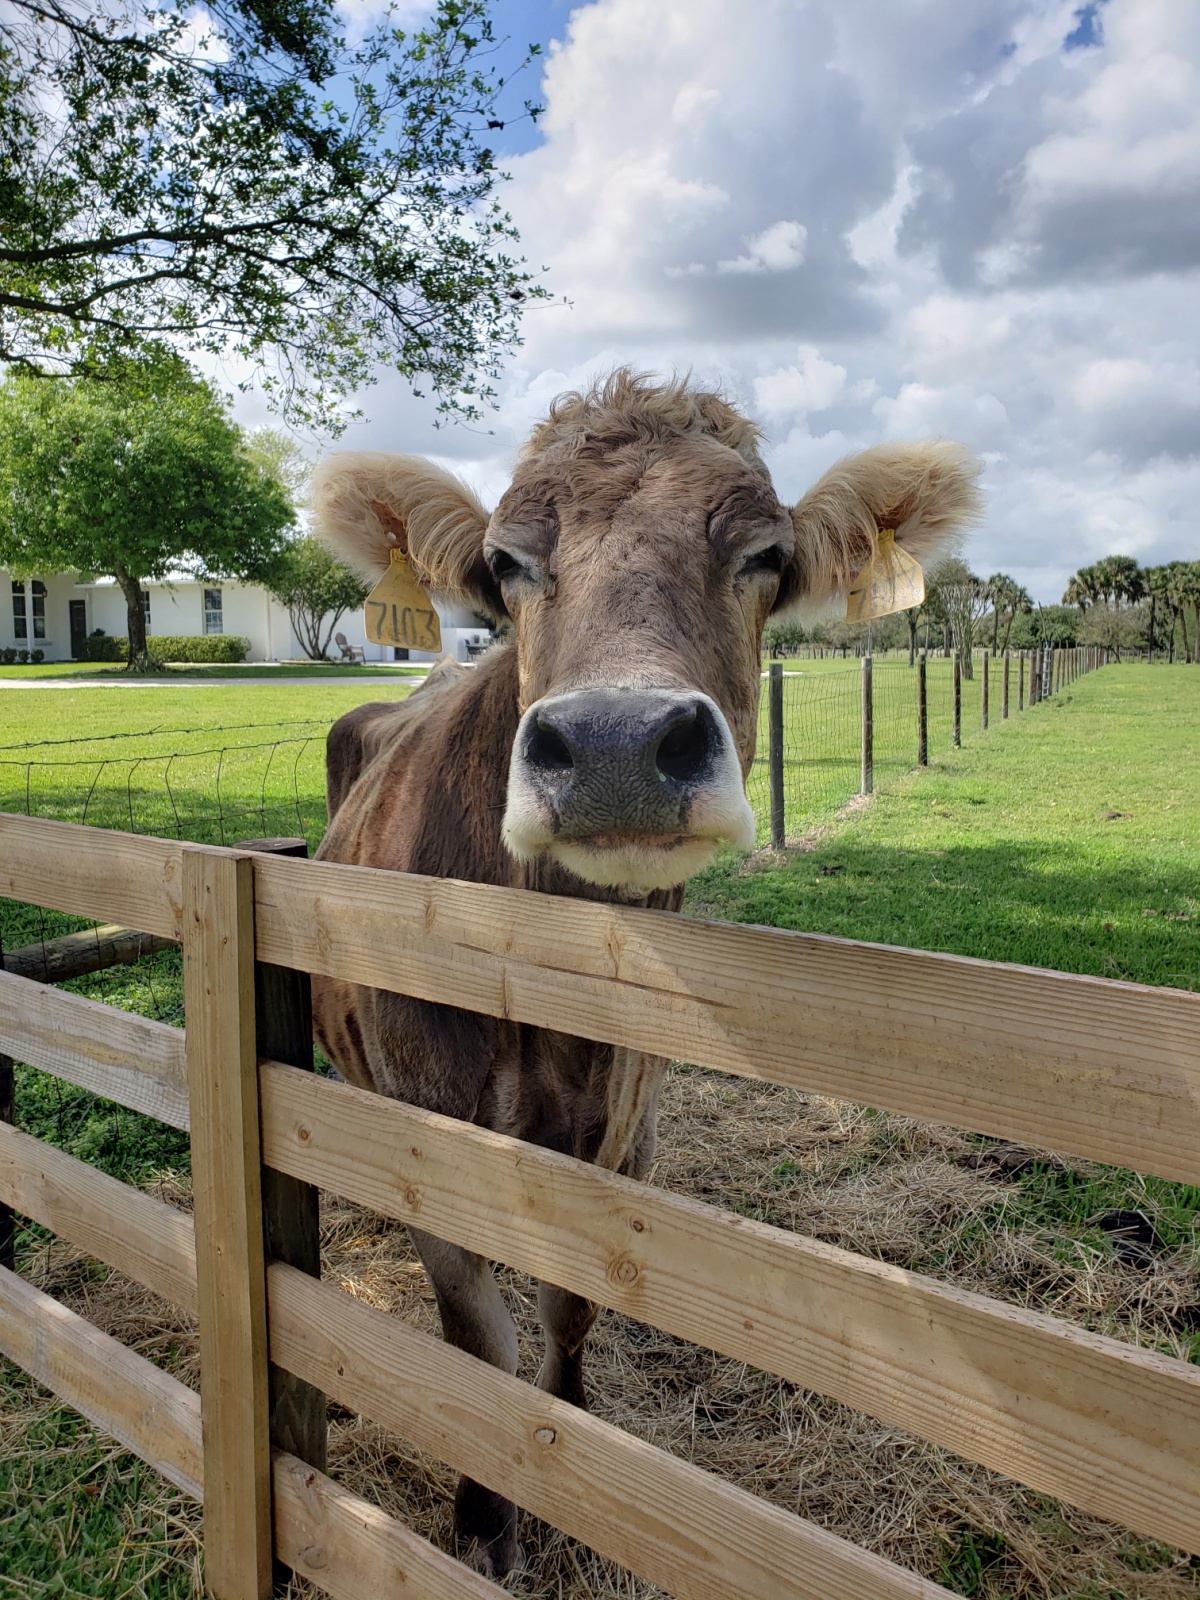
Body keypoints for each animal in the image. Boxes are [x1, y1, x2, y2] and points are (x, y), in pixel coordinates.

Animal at [312, 366, 985, 1574]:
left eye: (764, 554)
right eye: (507, 562)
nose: (617, 747)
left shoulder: (623, 1131)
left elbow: (570, 1309)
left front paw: (570, 1442)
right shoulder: (432, 1125)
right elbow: (473, 1333)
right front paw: (485, 1516)